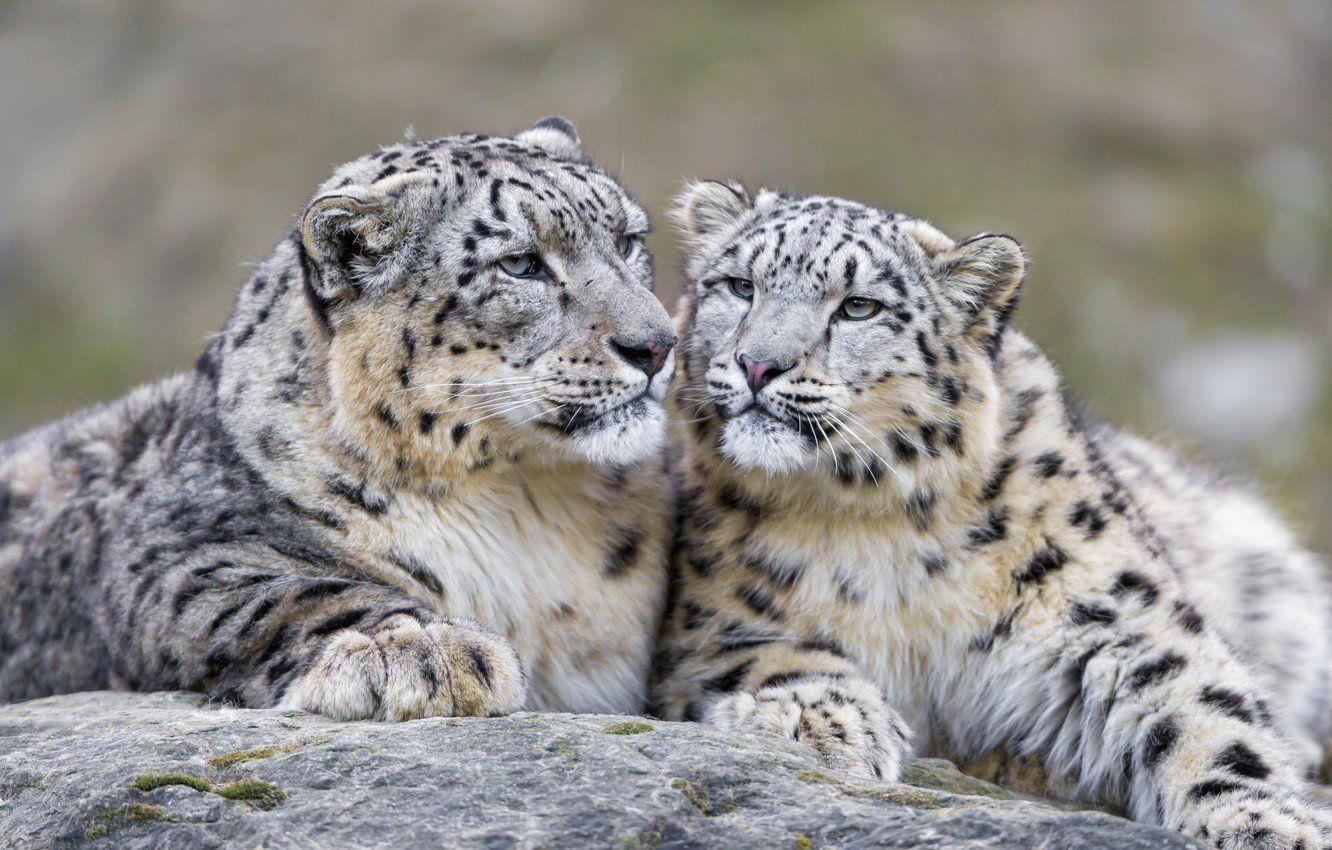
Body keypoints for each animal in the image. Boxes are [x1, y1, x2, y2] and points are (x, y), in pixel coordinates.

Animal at [0, 117, 677, 722]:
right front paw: (419, 649)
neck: (525, 504)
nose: (656, 344)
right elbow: (293, 592)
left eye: (627, 240)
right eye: (519, 264)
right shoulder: (174, 549)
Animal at [652, 179, 1332, 848]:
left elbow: (1208, 713)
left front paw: (1265, 822)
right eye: (740, 286)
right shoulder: (713, 626)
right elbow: (777, 656)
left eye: (859, 307)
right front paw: (819, 723)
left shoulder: (1118, 615)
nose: (759, 364)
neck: (883, 530)